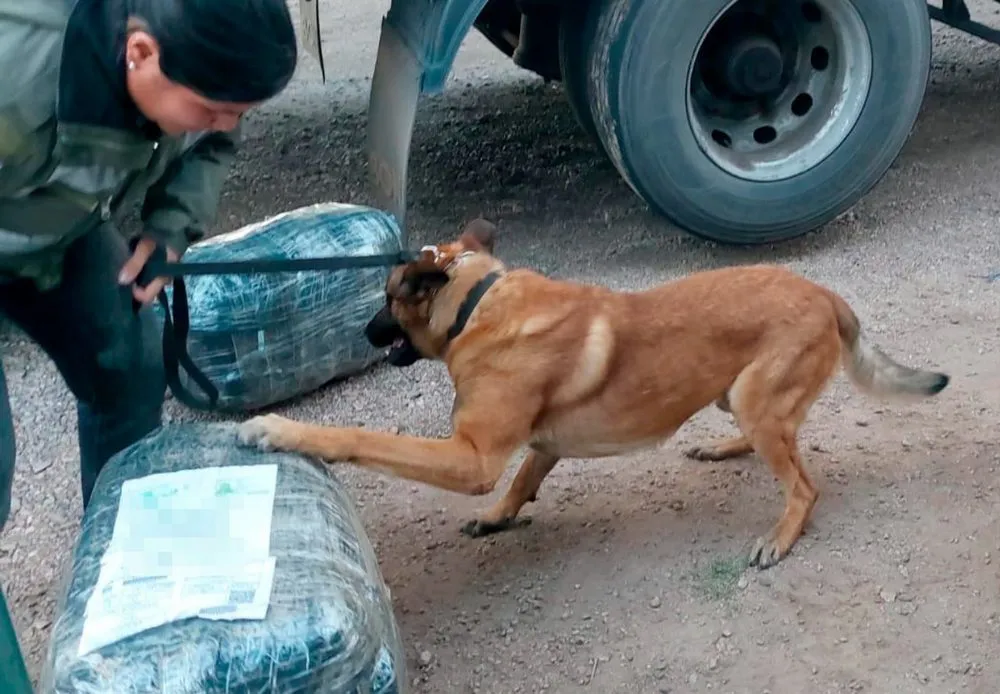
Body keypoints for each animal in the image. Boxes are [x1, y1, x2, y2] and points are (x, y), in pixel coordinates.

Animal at [238, 222, 948, 572]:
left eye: (387, 298)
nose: (364, 331)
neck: (478, 303)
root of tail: (826, 293)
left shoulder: (470, 457)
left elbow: (362, 437)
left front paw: (278, 429)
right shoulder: (542, 445)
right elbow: (525, 479)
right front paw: (499, 518)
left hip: (758, 400)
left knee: (804, 485)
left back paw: (781, 536)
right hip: (739, 397)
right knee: (770, 440)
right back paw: (723, 449)